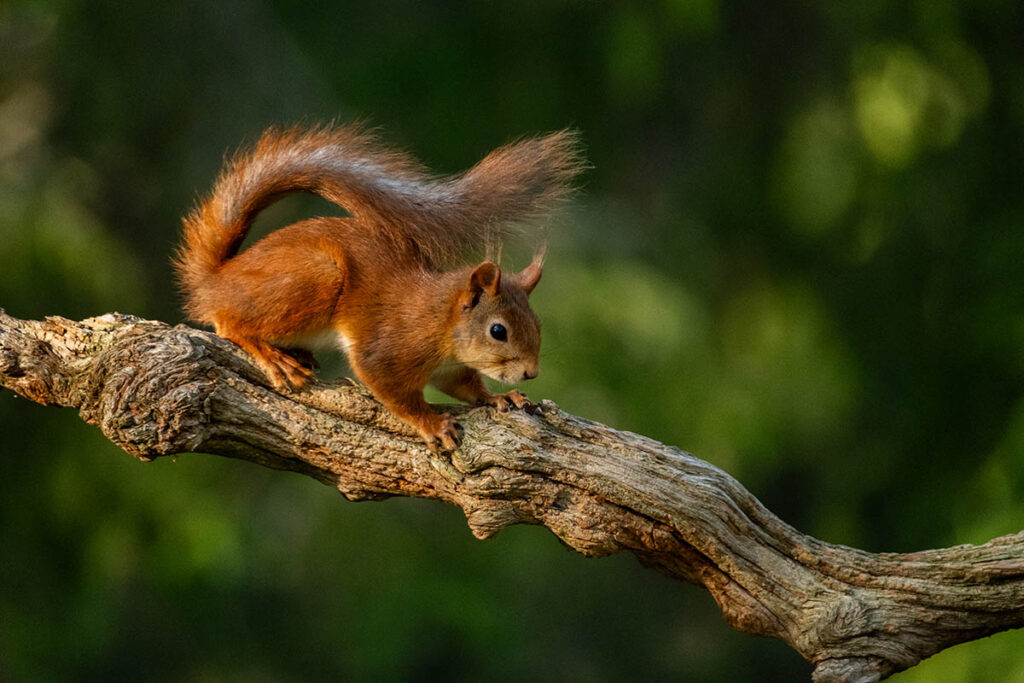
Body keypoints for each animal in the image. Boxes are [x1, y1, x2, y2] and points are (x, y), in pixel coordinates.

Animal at [175, 124, 583, 450]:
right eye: (498, 331)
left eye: (537, 323)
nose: (531, 373)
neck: (440, 320)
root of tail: (217, 279)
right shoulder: (389, 350)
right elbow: (394, 393)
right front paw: (432, 423)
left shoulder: (450, 369)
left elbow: (467, 387)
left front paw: (498, 398)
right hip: (315, 279)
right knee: (229, 323)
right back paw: (271, 355)